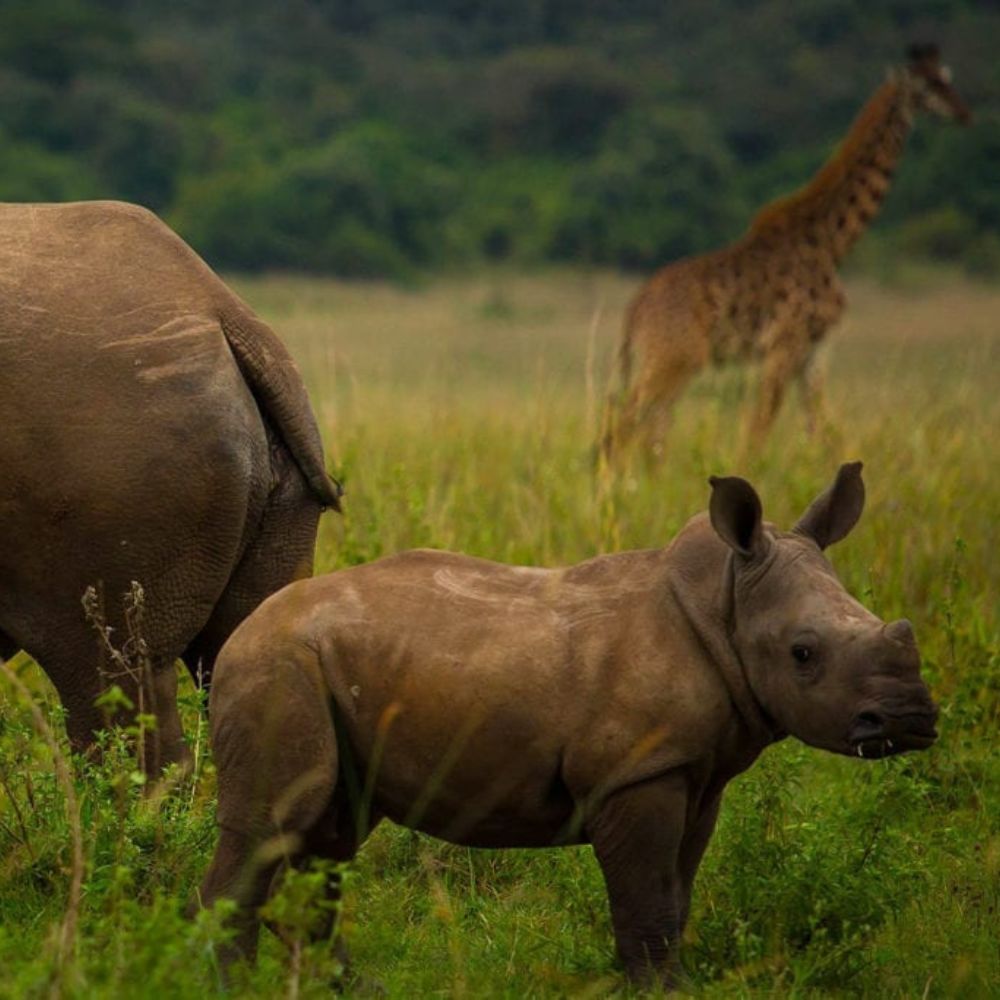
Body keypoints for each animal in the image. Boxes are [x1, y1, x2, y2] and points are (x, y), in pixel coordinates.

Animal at [198, 462, 937, 985]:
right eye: (803, 654)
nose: (915, 720)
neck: (722, 604)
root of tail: (244, 629)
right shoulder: (637, 773)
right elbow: (647, 904)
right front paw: (661, 992)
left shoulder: (695, 774)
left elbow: (677, 893)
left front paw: (679, 985)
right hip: (277, 665)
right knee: (271, 822)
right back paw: (234, 989)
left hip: (321, 668)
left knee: (327, 835)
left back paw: (352, 989)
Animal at [601, 45, 970, 463]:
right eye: (928, 86)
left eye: (947, 77)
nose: (964, 113)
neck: (833, 240)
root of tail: (633, 312)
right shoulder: (785, 345)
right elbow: (758, 432)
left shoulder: (813, 352)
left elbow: (823, 433)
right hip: (674, 361)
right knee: (625, 428)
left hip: (667, 364)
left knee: (648, 432)